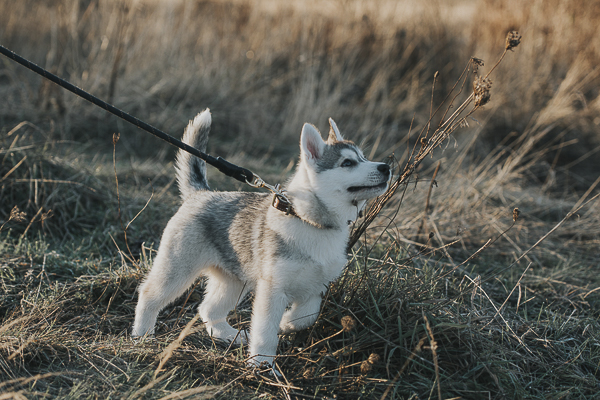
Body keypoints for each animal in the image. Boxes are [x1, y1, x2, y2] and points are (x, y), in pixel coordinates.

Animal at [132, 108, 392, 366]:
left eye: (364, 157)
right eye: (347, 163)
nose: (386, 167)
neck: (311, 222)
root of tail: (201, 194)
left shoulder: (317, 286)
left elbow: (306, 316)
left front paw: (285, 323)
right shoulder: (272, 290)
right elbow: (265, 332)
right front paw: (262, 365)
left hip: (234, 281)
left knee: (209, 309)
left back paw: (230, 336)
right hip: (177, 270)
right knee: (149, 294)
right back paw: (142, 335)